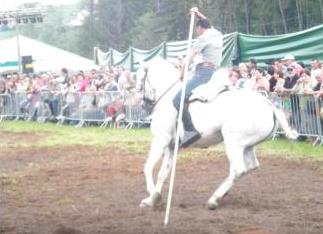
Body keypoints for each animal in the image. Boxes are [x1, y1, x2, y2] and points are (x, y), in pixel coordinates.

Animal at [137, 57, 298, 209]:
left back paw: (214, 199)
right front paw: (152, 199)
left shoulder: (161, 139)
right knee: (250, 166)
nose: (140, 101)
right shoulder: (171, 146)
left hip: (233, 143)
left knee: (238, 169)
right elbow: (162, 173)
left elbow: (147, 167)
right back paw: (223, 193)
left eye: (139, 77)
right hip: (247, 146)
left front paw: (152, 195)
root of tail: (269, 105)